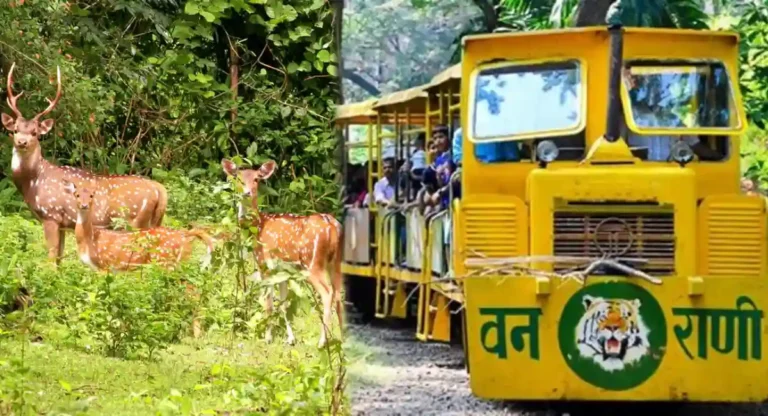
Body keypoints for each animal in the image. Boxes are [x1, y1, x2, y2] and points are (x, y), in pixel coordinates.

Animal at [1, 62, 170, 264]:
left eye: (35, 133)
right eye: (15, 130)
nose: (22, 142)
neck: (33, 182)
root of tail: (160, 190)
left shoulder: (51, 215)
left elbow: (50, 259)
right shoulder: (63, 224)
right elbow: (59, 259)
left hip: (135, 221)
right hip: (154, 221)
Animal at [62, 181, 213, 338]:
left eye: (92, 195)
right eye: (77, 194)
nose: (84, 205)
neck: (89, 240)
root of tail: (185, 235)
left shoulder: (104, 265)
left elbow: (101, 293)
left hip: (166, 262)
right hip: (179, 264)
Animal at [220, 159, 344, 348]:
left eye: (256, 179)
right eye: (238, 178)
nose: (247, 193)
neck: (258, 227)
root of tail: (332, 225)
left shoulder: (265, 264)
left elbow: (269, 303)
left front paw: (268, 338)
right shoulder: (283, 272)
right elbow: (284, 303)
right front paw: (291, 339)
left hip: (312, 263)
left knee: (327, 293)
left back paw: (322, 341)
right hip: (335, 262)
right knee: (339, 294)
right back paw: (344, 339)